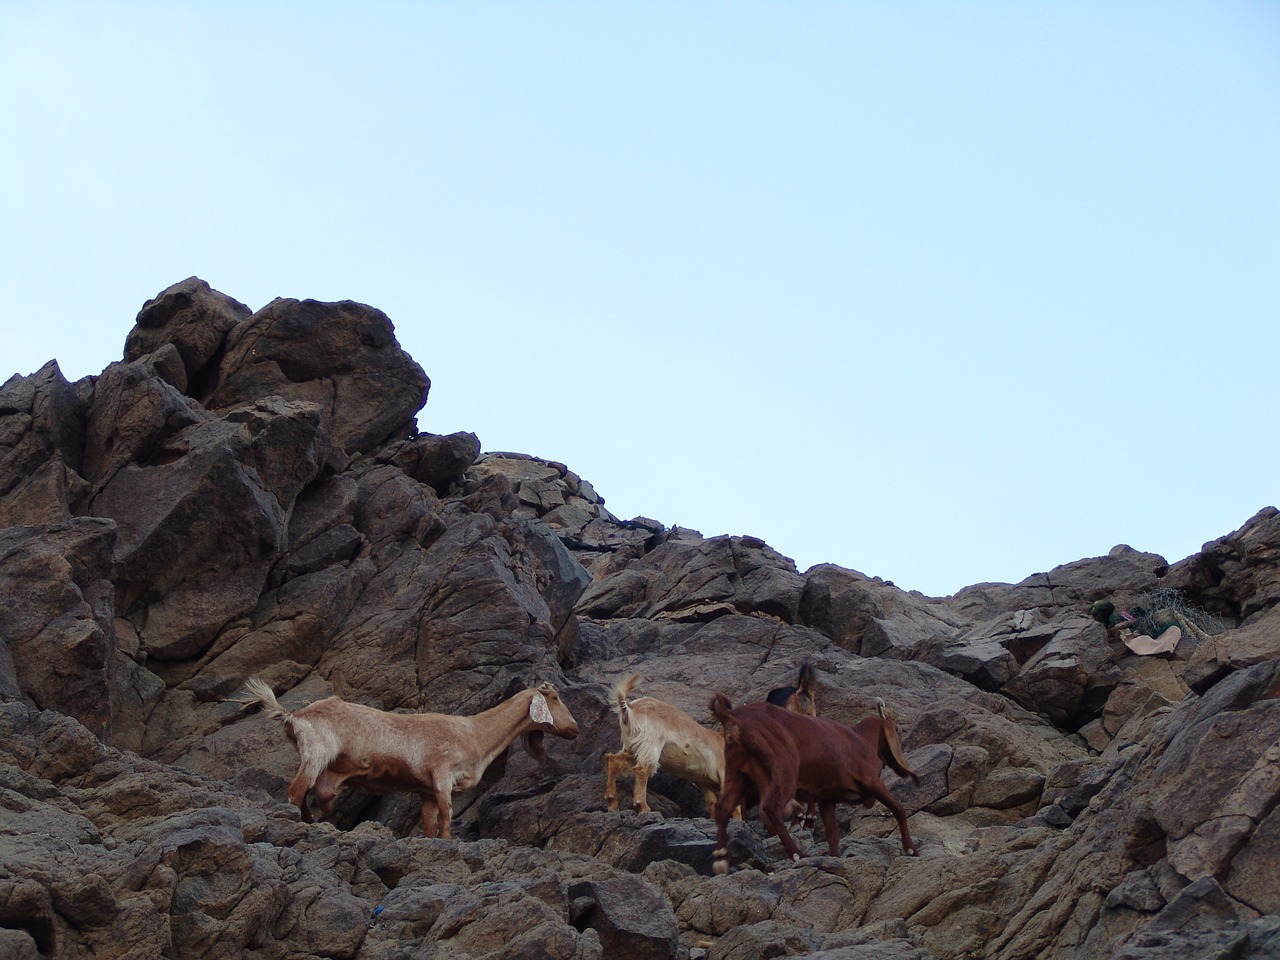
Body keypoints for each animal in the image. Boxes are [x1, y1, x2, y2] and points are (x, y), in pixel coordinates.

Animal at [240, 675, 581, 839]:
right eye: (554, 697)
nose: (575, 728)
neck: (474, 733)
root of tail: (294, 716)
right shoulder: (442, 775)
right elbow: (446, 816)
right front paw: (450, 841)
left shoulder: (426, 790)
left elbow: (429, 822)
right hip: (315, 753)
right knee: (295, 791)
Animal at [601, 670, 727, 814]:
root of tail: (629, 708)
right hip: (651, 743)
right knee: (642, 769)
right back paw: (643, 807)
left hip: (633, 746)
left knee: (612, 760)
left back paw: (612, 802)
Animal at [711, 696, 921, 875]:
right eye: (897, 730)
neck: (863, 739)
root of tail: (732, 717)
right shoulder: (873, 782)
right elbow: (899, 809)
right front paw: (911, 849)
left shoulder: (827, 798)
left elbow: (832, 832)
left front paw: (835, 858)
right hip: (785, 767)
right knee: (770, 807)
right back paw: (798, 854)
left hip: (738, 772)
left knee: (723, 808)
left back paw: (721, 859)